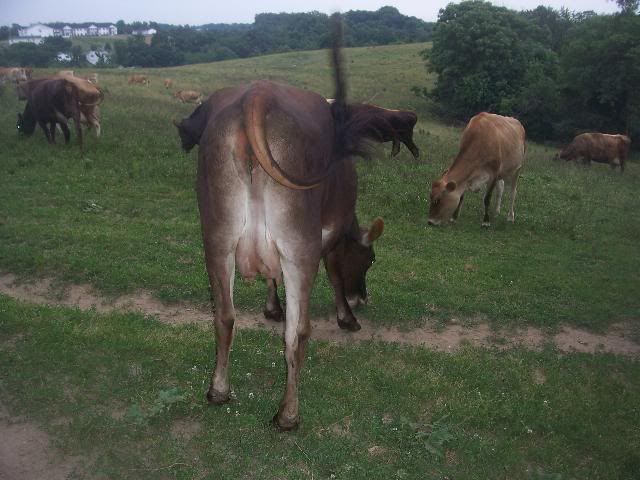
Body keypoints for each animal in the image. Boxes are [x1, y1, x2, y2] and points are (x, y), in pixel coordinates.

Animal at [173, 15, 391, 430]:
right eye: (370, 259)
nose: (363, 295)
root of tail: (258, 94)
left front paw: (271, 308)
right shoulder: (328, 235)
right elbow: (334, 272)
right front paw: (347, 316)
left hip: (217, 238)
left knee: (224, 316)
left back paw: (218, 390)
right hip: (298, 246)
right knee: (297, 332)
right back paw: (288, 414)